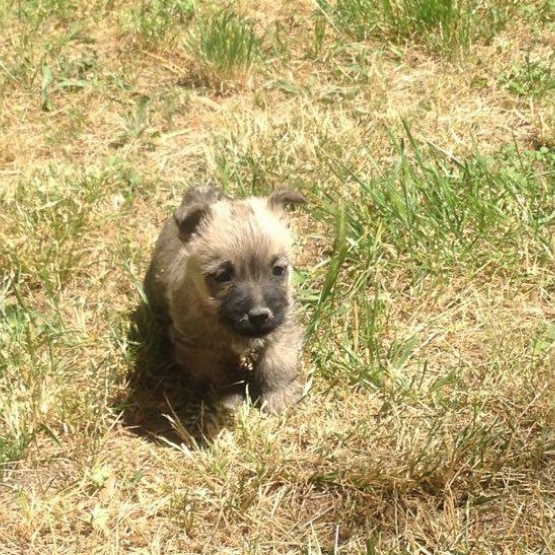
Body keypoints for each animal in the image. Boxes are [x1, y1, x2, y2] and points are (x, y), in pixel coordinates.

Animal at [146, 185, 306, 414]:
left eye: (278, 270)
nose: (259, 316)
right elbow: (220, 375)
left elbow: (277, 363)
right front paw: (229, 399)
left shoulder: (283, 326)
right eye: (222, 276)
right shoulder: (200, 348)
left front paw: (278, 395)